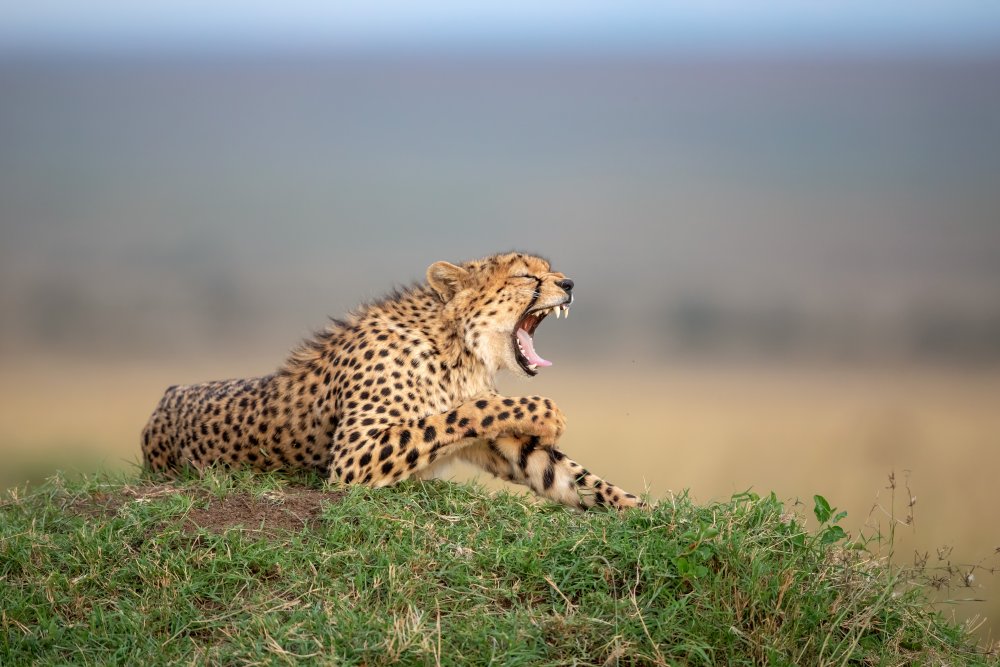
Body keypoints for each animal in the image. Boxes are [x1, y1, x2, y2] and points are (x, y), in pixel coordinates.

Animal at [142, 251, 643, 510]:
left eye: (552, 270)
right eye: (525, 275)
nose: (570, 284)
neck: (458, 347)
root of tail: (167, 394)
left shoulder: (500, 443)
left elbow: (571, 475)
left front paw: (644, 512)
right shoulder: (353, 460)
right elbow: (466, 410)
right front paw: (549, 413)